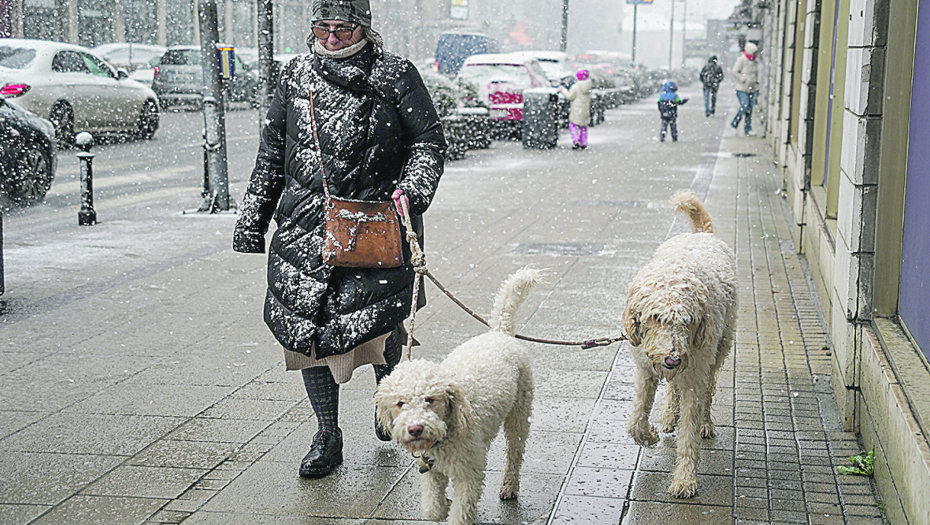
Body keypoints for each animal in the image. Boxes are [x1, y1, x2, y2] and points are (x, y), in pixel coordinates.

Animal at [374, 268, 540, 520]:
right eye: (400, 403)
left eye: (430, 400)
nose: (415, 429)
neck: (446, 432)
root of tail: (500, 332)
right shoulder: (430, 468)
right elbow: (432, 510)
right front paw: (444, 504)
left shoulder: (469, 475)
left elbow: (460, 512)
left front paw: (453, 508)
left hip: (519, 412)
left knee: (515, 452)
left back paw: (509, 486)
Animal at [620, 190, 736, 498]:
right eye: (656, 317)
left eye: (688, 321)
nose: (672, 359)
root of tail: (703, 235)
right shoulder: (645, 369)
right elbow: (635, 419)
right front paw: (648, 435)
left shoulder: (694, 374)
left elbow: (689, 432)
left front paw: (685, 480)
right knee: (673, 388)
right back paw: (669, 416)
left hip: (718, 349)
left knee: (709, 390)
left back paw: (705, 422)